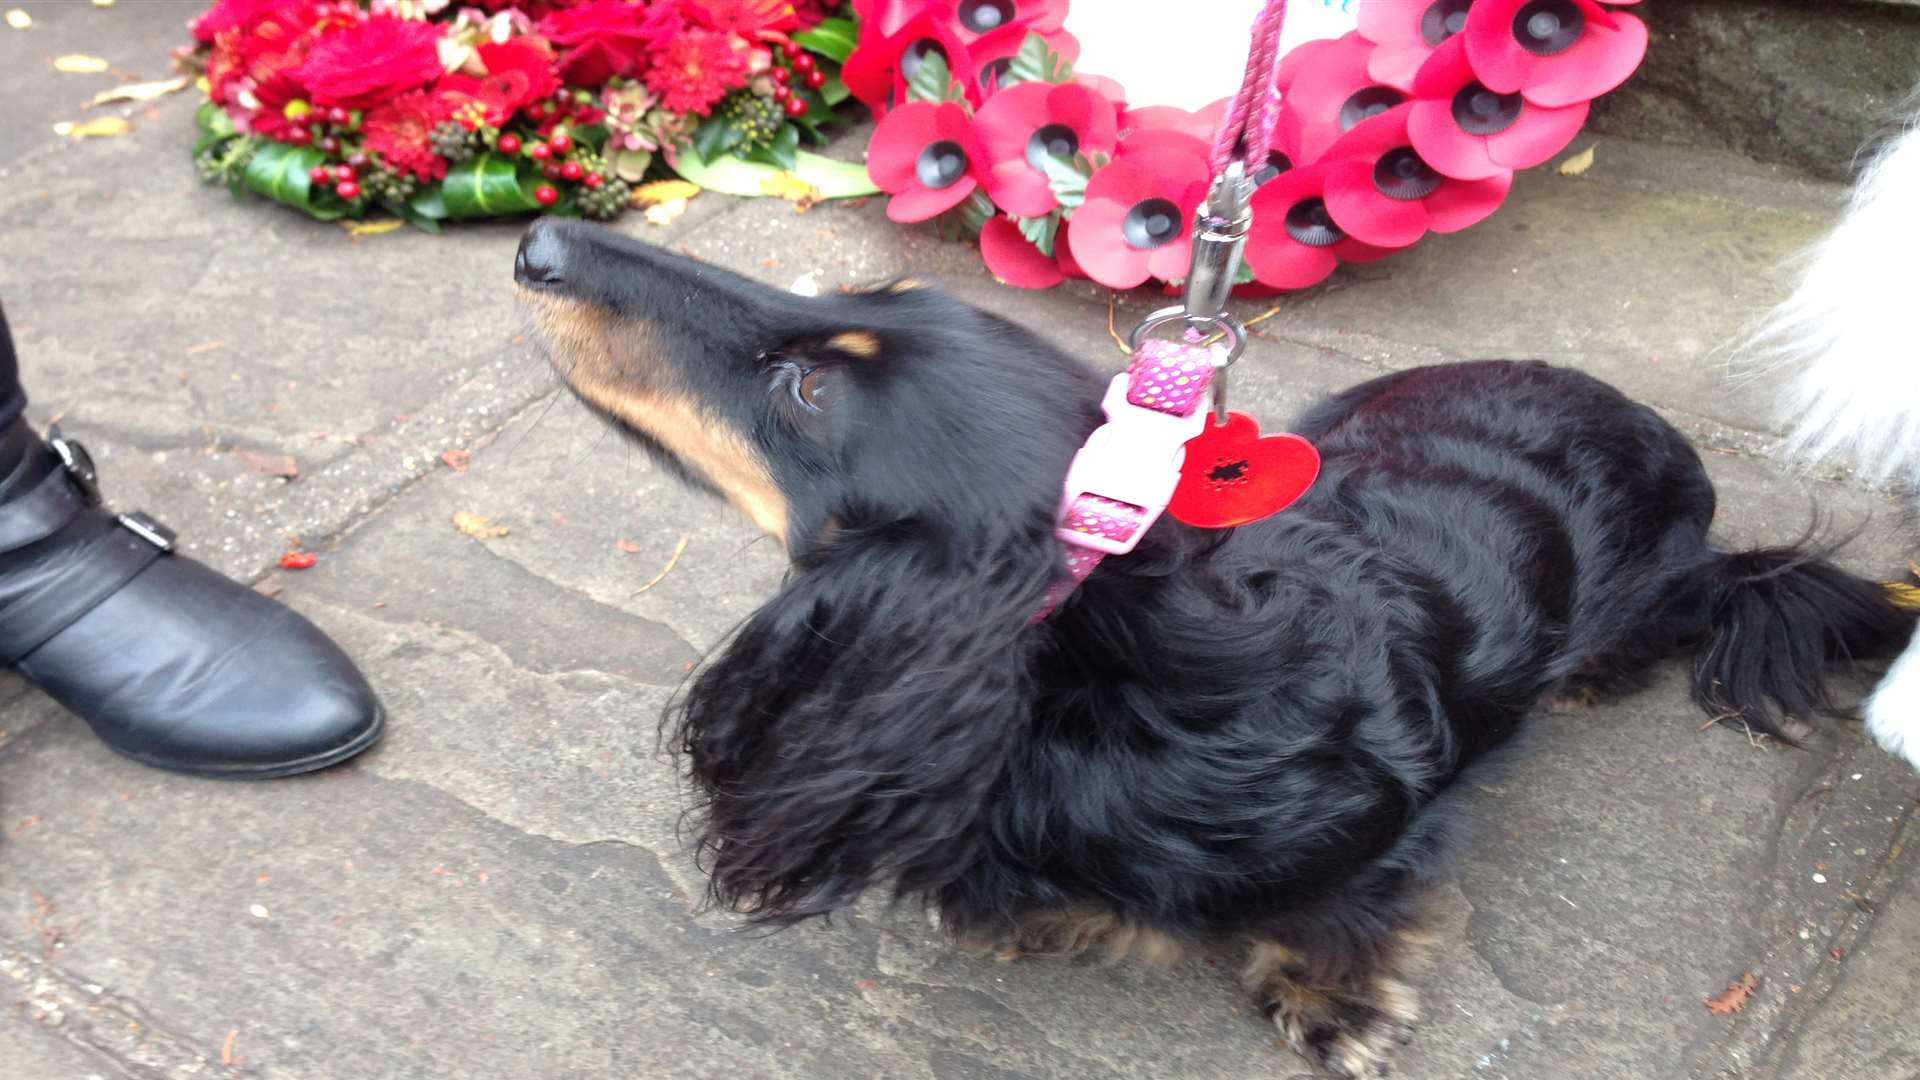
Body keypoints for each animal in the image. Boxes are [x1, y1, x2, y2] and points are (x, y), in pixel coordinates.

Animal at [514, 214, 1920, 1068]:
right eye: (858, 294)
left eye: (806, 388)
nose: (538, 241)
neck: (1110, 681)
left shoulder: (1387, 831)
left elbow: (1348, 919)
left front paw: (1334, 1004)